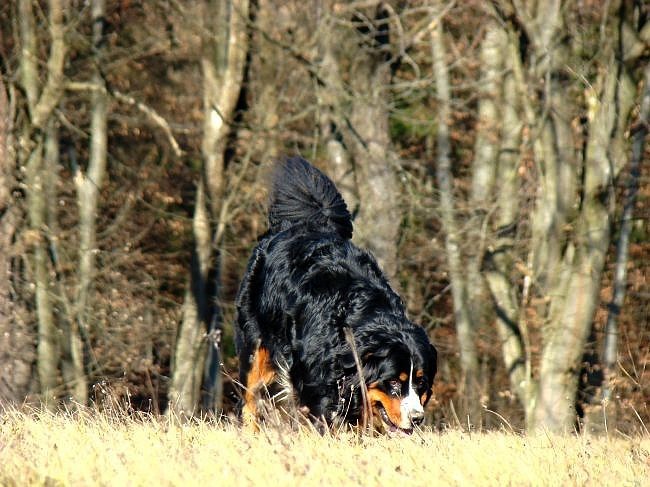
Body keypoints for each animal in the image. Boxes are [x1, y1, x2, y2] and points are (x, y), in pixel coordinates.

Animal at [233, 156, 436, 434]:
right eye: (393, 382)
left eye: (421, 383)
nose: (417, 418)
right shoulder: (313, 378)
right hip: (256, 342)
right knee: (251, 394)